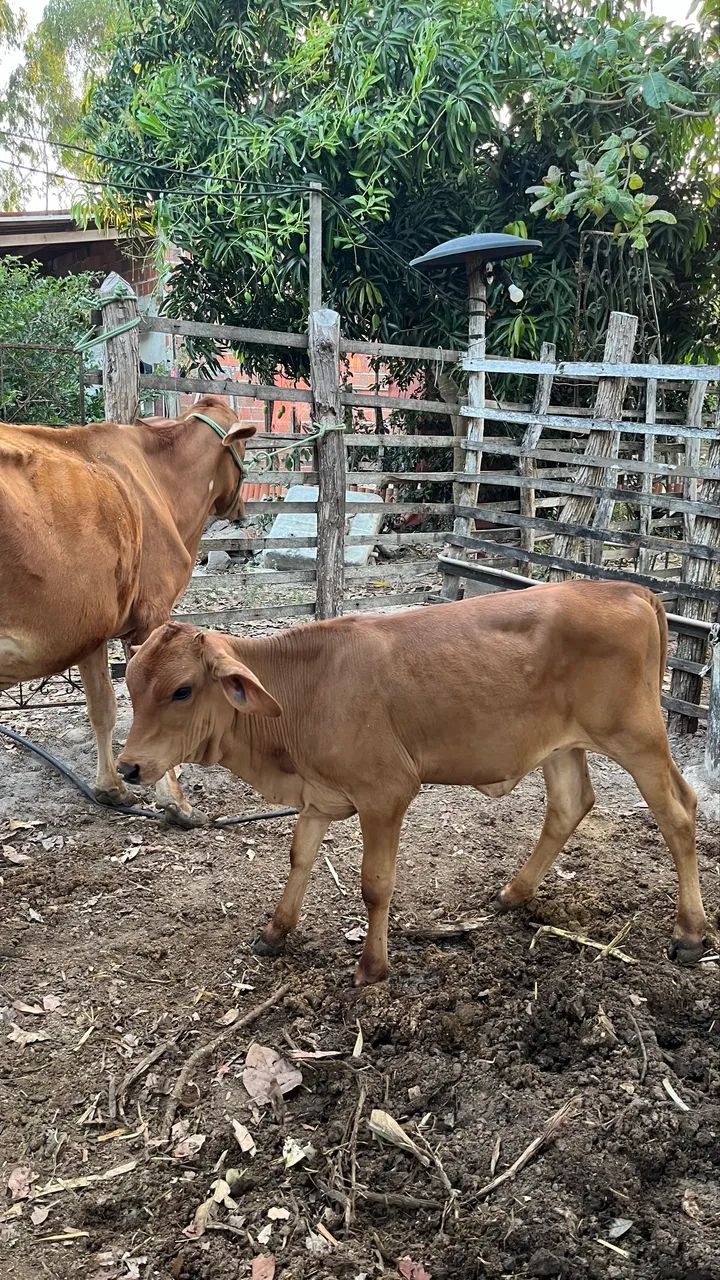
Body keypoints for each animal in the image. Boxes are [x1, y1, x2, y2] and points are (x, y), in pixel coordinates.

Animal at [0, 394, 255, 825]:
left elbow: (102, 707)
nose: (241, 507)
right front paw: (176, 802)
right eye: (245, 444)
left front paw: (110, 789)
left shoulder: (89, 628)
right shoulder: (152, 616)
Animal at [117, 580, 707, 984]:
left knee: (679, 812)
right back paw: (512, 894)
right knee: (569, 805)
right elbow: (299, 856)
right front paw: (275, 932)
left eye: (182, 690)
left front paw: (372, 968)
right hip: (562, 746)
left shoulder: (386, 793)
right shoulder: (320, 796)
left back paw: (689, 933)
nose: (128, 766)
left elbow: (375, 885)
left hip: (637, 737)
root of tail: (627, 588)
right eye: (132, 683)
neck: (305, 692)